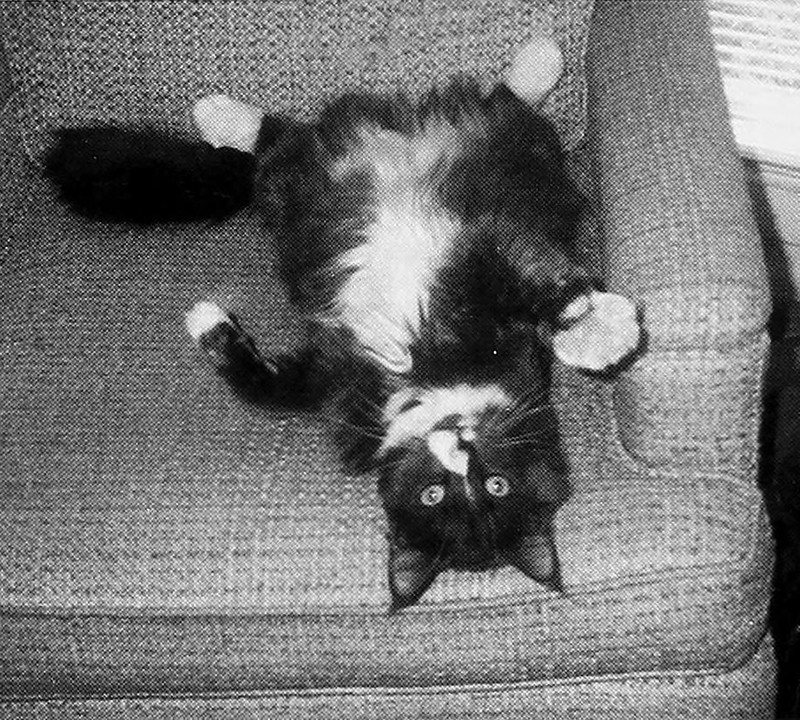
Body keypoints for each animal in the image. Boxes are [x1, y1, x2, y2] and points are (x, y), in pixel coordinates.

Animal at [46, 76, 600, 611]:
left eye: (493, 487)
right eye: (434, 495)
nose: (456, 447)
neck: (429, 387)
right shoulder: (371, 350)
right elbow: (542, 286)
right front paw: (602, 328)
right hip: (329, 181)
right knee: (278, 140)